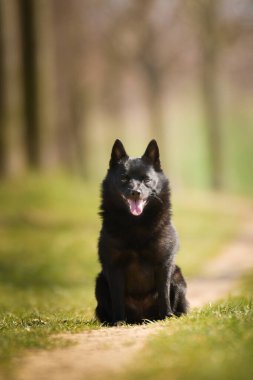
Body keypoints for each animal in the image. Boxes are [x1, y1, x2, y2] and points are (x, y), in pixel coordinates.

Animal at [95, 140, 188, 324]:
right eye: (124, 178)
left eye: (147, 179)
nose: (135, 192)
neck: (136, 224)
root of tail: (142, 317)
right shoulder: (114, 266)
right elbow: (117, 297)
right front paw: (119, 321)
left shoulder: (164, 264)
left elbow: (164, 293)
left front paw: (167, 316)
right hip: (99, 283)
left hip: (178, 277)